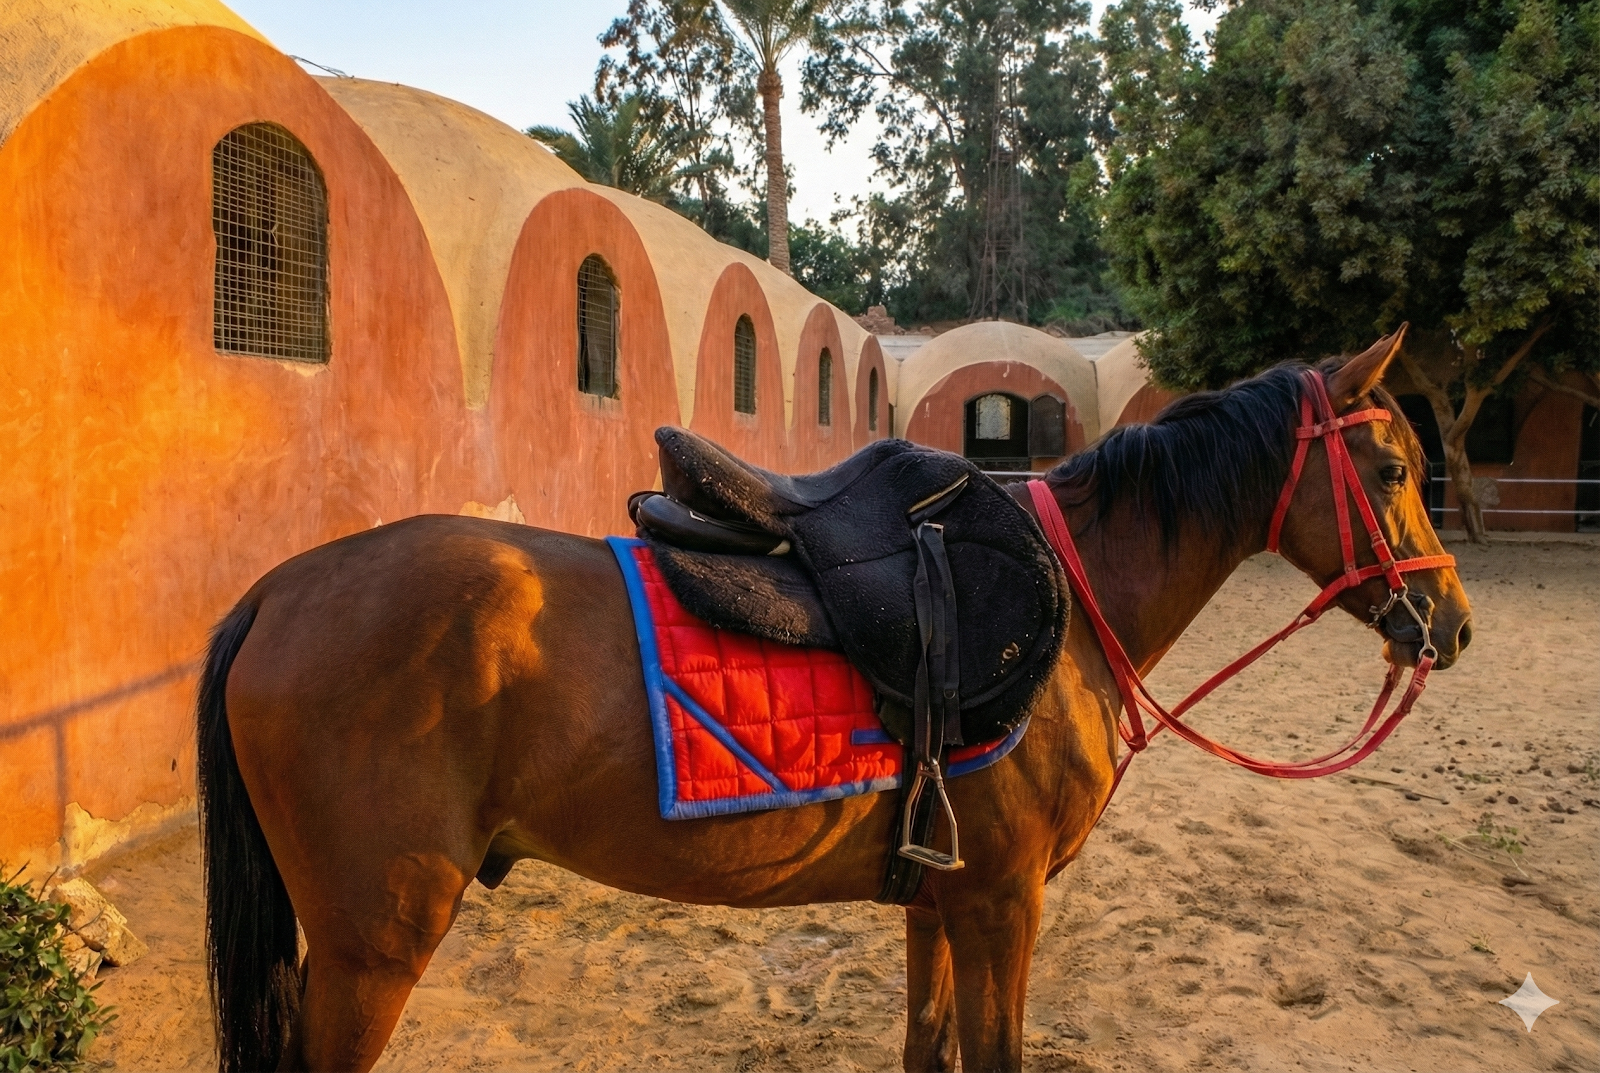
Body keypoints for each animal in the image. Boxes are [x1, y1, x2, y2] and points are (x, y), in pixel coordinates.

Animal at [196, 330, 1472, 1072]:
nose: (1449, 623)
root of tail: (276, 587)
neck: (1069, 602)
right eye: (1393, 469)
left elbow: (925, 1043)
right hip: (374, 944)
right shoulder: (1002, 902)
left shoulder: (942, 899)